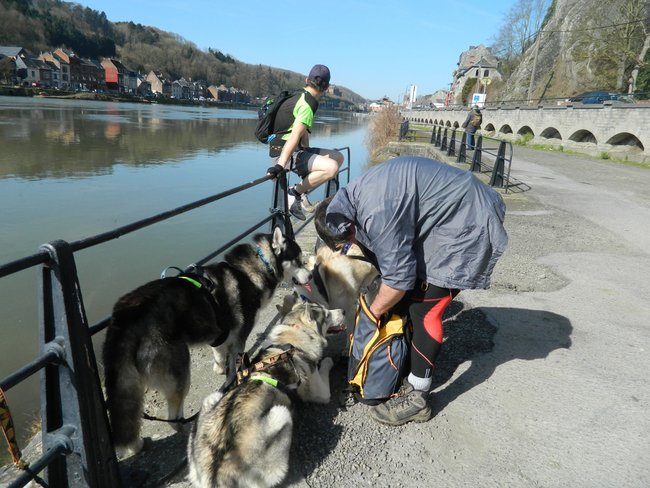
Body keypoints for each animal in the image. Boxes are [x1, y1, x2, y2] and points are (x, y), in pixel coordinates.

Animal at [102, 227, 310, 456]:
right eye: (299, 260)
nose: (311, 274)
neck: (257, 267)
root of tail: (124, 319)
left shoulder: (220, 334)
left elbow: (219, 353)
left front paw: (218, 368)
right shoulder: (239, 339)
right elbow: (234, 369)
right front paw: (231, 380)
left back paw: (135, 445)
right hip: (179, 372)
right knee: (174, 420)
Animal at [187, 296, 344, 488]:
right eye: (327, 314)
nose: (344, 311)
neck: (296, 333)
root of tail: (216, 477)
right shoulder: (320, 391)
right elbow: (326, 366)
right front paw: (330, 360)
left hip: (212, 398)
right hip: (281, 414)